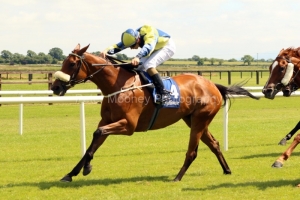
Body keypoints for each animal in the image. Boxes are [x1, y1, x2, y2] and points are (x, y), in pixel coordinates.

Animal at [51, 44, 258, 183]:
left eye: (72, 63)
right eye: (64, 62)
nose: (55, 87)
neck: (118, 86)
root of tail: (212, 84)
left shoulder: (128, 126)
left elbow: (97, 134)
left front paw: (87, 167)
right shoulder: (107, 121)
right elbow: (92, 143)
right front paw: (71, 174)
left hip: (200, 120)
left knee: (192, 151)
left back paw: (178, 177)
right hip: (193, 120)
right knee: (214, 144)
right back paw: (227, 170)